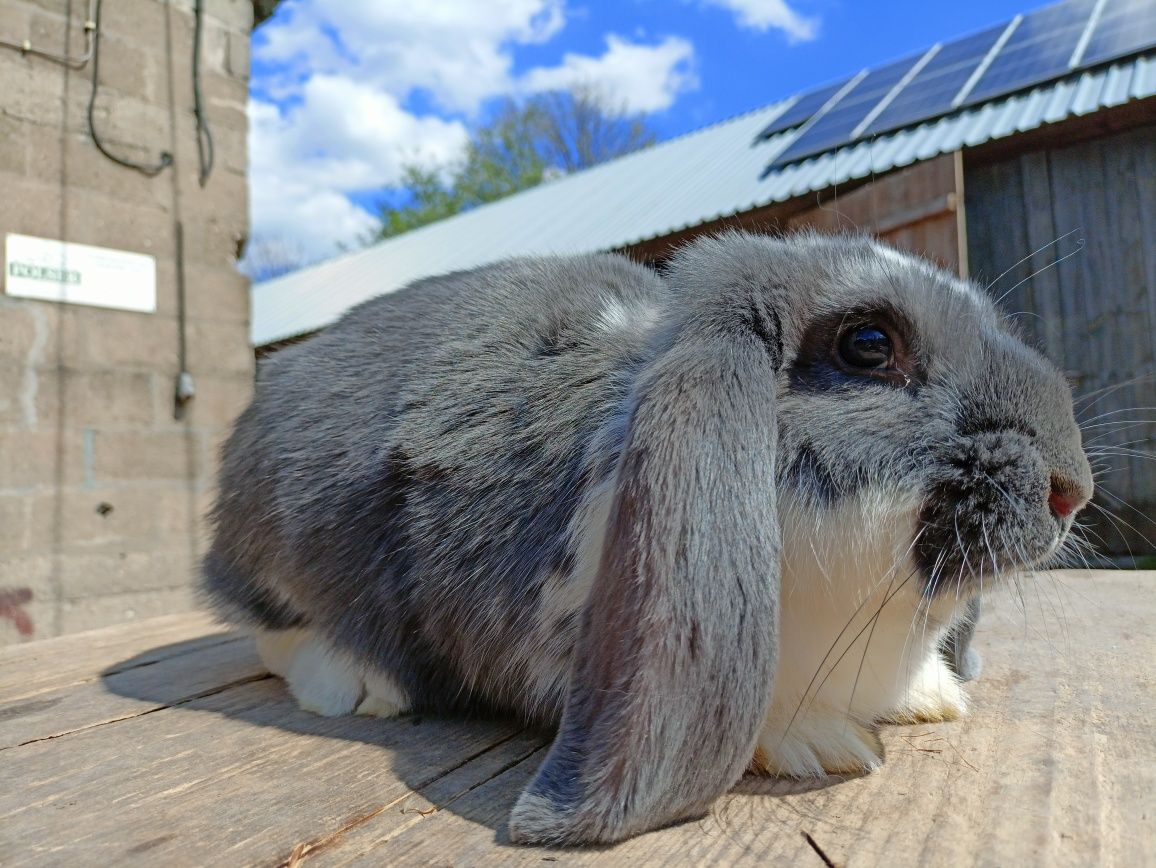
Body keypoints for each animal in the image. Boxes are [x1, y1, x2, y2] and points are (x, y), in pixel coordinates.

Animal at [205, 234, 1091, 846]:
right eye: (868, 344)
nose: (1072, 489)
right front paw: (820, 741)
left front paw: (932, 698)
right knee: (270, 630)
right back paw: (357, 684)